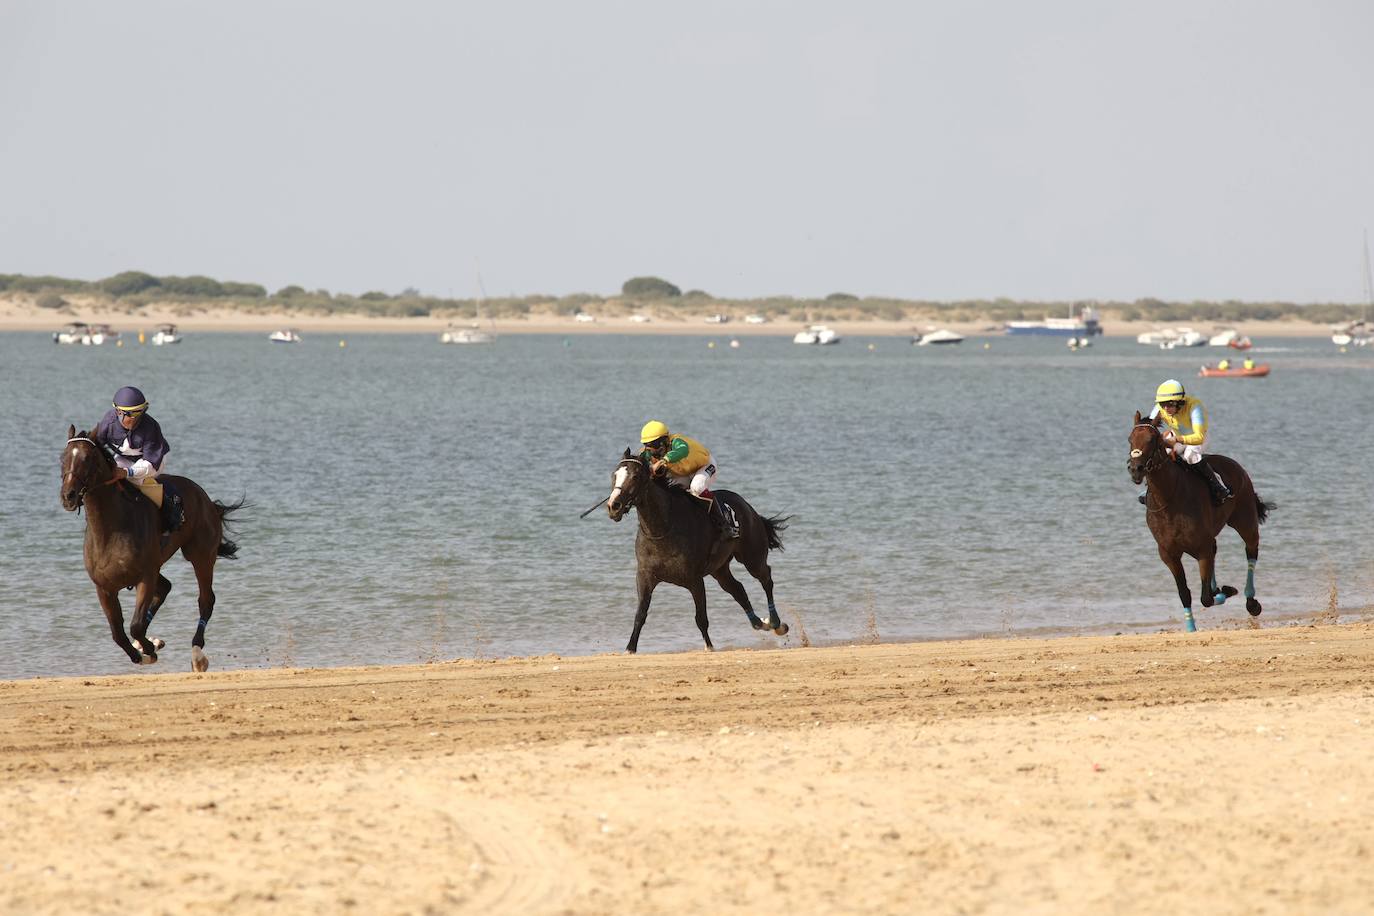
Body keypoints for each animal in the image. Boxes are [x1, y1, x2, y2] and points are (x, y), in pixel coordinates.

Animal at [59, 425, 244, 670]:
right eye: (63, 458)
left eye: (87, 458)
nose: (68, 496)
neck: (111, 530)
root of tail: (205, 498)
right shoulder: (104, 588)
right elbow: (118, 633)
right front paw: (145, 649)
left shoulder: (145, 576)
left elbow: (135, 626)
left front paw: (149, 650)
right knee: (165, 588)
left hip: (201, 554)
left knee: (206, 600)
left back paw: (197, 654)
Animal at [606, 450, 791, 653]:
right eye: (614, 475)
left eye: (636, 476)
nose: (613, 506)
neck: (663, 528)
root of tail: (750, 508)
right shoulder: (645, 576)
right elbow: (640, 614)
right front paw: (630, 648)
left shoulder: (694, 579)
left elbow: (701, 617)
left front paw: (709, 646)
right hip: (720, 569)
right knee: (738, 589)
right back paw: (760, 623)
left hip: (752, 557)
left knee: (766, 579)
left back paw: (776, 623)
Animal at [1127, 411, 1274, 632]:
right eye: (1130, 439)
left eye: (1152, 440)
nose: (1136, 469)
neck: (1169, 499)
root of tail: (1235, 465)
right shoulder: (1168, 554)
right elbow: (1184, 593)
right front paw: (1191, 627)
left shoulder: (1201, 548)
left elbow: (1205, 598)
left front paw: (1224, 591)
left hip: (1245, 520)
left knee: (1251, 551)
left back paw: (1251, 601)